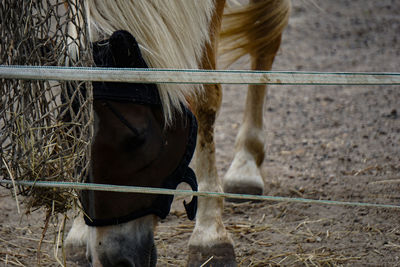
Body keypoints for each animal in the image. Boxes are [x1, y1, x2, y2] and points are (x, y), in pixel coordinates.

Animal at [66, 1, 290, 266]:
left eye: (137, 139)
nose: (114, 261)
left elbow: (203, 95)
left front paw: (209, 235)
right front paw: (78, 231)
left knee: (266, 38)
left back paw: (246, 165)